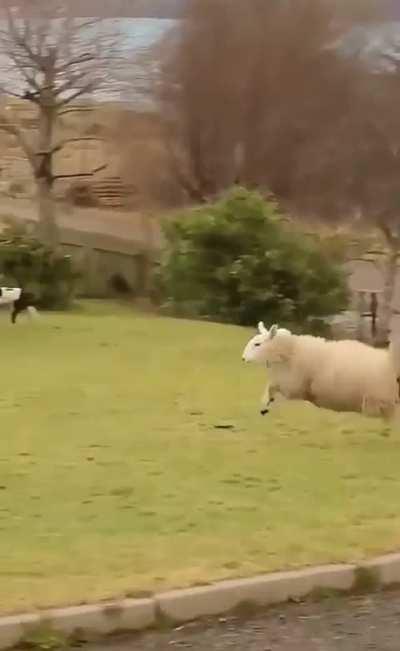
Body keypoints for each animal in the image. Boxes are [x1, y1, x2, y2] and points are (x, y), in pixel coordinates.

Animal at [242, 321, 400, 421]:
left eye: (257, 344)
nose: (243, 358)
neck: (291, 351)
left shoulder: (294, 386)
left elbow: (272, 387)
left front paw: (265, 405)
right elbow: (270, 389)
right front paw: (265, 406)